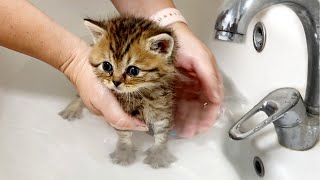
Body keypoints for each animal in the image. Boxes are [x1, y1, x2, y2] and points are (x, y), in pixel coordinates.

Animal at [59, 15, 179, 169]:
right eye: (107, 66)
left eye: (133, 70)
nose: (115, 82)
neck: (141, 93)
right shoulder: (120, 113)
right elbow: (124, 132)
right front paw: (124, 152)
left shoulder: (162, 105)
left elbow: (162, 131)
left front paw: (159, 153)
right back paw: (72, 109)